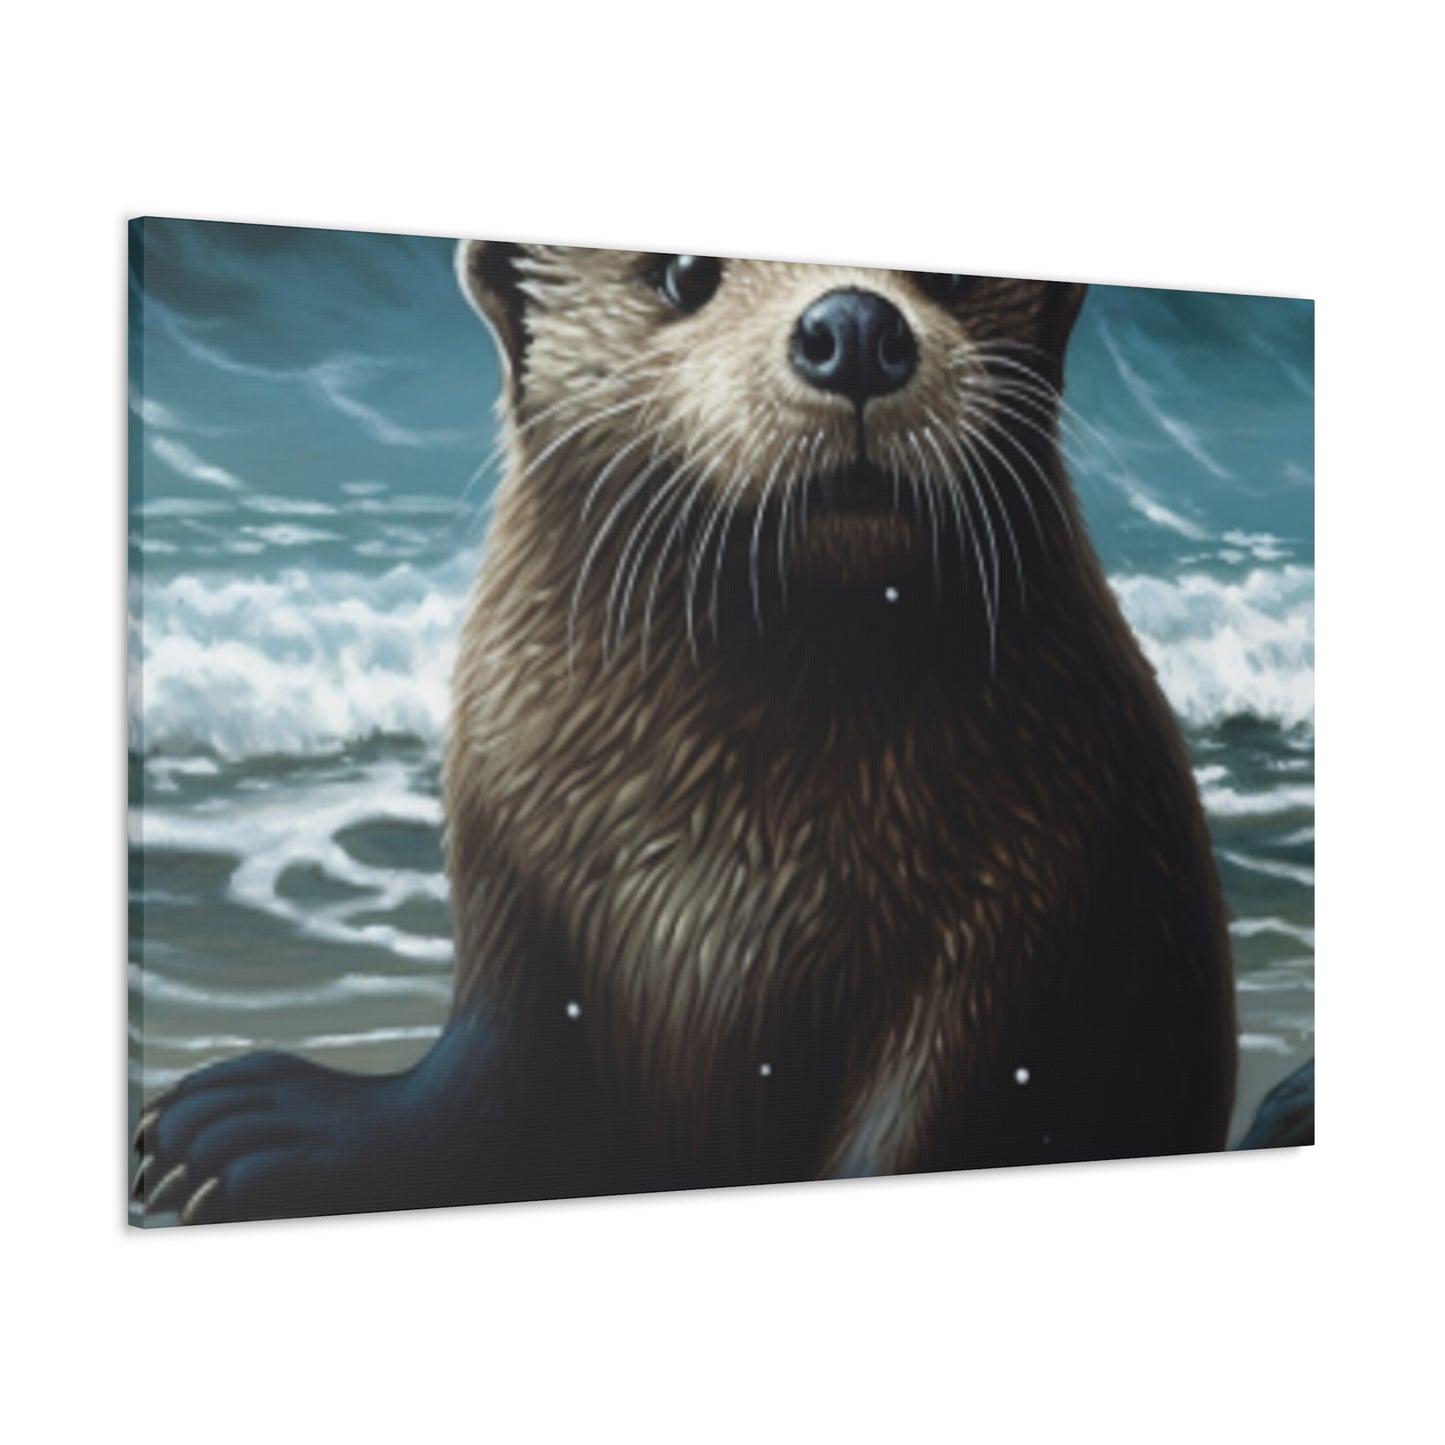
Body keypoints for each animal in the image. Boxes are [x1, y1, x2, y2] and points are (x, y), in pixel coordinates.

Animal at [133, 245, 1237, 1223]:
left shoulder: (1023, 927)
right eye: (682, 272)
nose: (853, 328)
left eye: (955, 274)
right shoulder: (523, 901)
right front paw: (241, 1127)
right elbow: (490, 1092)